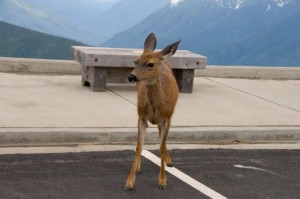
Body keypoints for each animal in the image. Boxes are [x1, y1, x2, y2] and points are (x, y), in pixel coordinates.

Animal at [125, 33, 182, 191]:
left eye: (150, 64)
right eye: (135, 61)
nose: (131, 77)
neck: (155, 108)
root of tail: (163, 56)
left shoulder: (166, 118)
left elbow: (161, 147)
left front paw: (162, 181)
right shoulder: (141, 117)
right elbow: (138, 146)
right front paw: (129, 181)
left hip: (168, 116)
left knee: (162, 140)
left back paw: (169, 161)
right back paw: (139, 168)